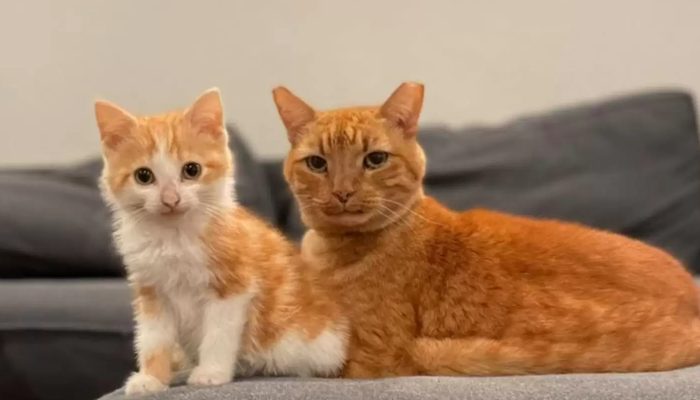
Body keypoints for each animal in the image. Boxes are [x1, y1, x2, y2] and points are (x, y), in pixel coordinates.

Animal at [95, 88, 348, 394]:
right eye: (143, 176)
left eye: (191, 170)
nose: (170, 199)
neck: (175, 237)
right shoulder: (151, 291)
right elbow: (153, 338)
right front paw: (151, 378)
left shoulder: (233, 286)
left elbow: (218, 332)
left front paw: (211, 373)